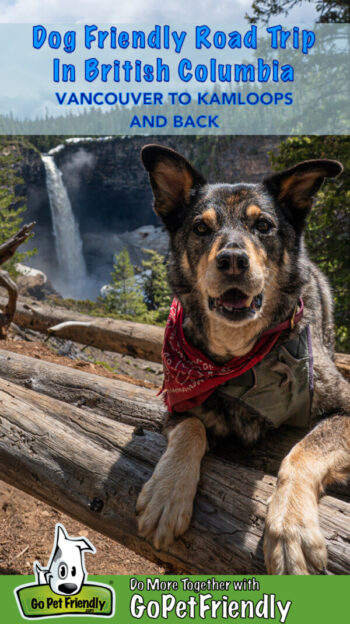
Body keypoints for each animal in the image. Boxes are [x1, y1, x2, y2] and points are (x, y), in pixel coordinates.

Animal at [136, 144, 350, 572]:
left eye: (263, 225)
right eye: (201, 228)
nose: (232, 259)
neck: (241, 353)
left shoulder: (345, 406)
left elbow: (303, 451)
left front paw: (291, 528)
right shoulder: (177, 403)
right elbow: (191, 429)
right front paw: (167, 492)